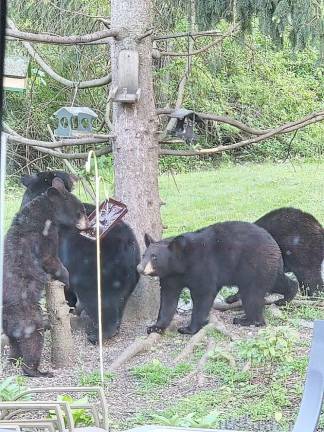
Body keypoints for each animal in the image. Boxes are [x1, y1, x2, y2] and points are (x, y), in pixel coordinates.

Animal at [2, 177, 88, 376]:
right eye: (80, 212)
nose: (89, 224)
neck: (44, 211)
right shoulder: (43, 234)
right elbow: (50, 258)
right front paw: (66, 279)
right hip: (29, 319)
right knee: (33, 341)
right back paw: (37, 371)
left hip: (12, 332)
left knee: (14, 345)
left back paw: (13, 360)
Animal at [20, 170, 140, 342]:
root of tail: (128, 245)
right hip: (128, 276)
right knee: (120, 299)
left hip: (94, 270)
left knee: (100, 300)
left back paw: (98, 334)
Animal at [138, 221, 298, 336]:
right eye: (144, 255)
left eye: (154, 257)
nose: (139, 268)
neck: (181, 264)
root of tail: (274, 244)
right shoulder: (170, 276)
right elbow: (168, 299)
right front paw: (155, 327)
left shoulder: (201, 267)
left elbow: (203, 295)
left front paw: (189, 329)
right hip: (265, 268)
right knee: (276, 282)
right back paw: (287, 296)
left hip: (255, 266)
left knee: (252, 296)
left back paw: (246, 320)